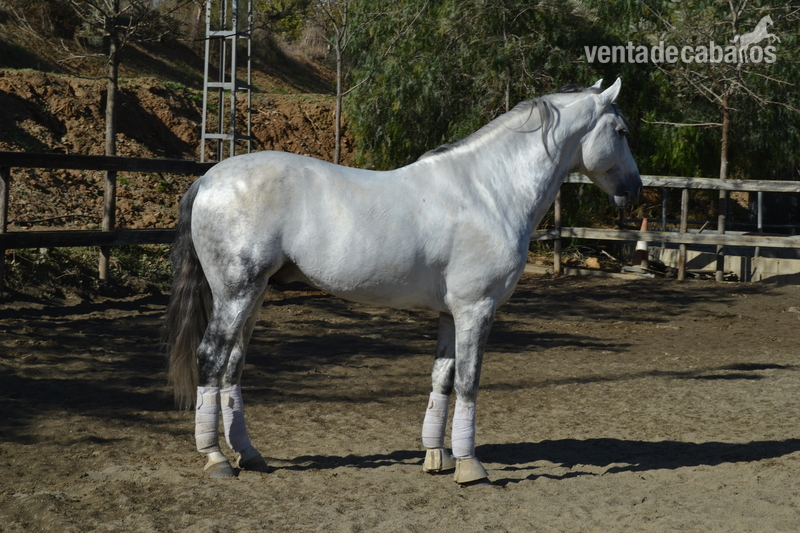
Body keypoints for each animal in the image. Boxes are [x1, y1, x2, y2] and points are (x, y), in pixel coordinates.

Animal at [163, 78, 641, 484]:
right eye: (620, 130)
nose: (635, 189)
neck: (488, 192)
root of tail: (208, 179)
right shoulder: (476, 308)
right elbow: (469, 381)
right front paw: (470, 466)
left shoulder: (452, 313)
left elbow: (442, 378)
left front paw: (437, 457)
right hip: (236, 293)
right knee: (211, 358)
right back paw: (216, 459)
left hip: (254, 295)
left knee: (233, 364)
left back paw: (248, 453)